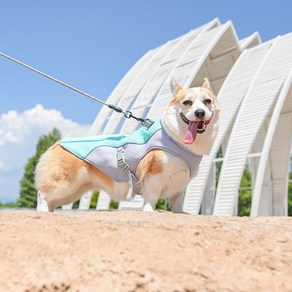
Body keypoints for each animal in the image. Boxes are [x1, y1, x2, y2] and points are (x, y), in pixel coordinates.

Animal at [34, 78, 219, 213]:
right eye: (187, 102)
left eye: (207, 101)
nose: (200, 113)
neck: (175, 139)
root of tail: (57, 143)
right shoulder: (155, 176)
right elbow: (151, 198)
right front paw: (149, 211)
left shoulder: (180, 182)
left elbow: (178, 202)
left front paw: (181, 213)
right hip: (65, 184)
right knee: (42, 193)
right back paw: (42, 210)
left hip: (73, 191)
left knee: (52, 200)